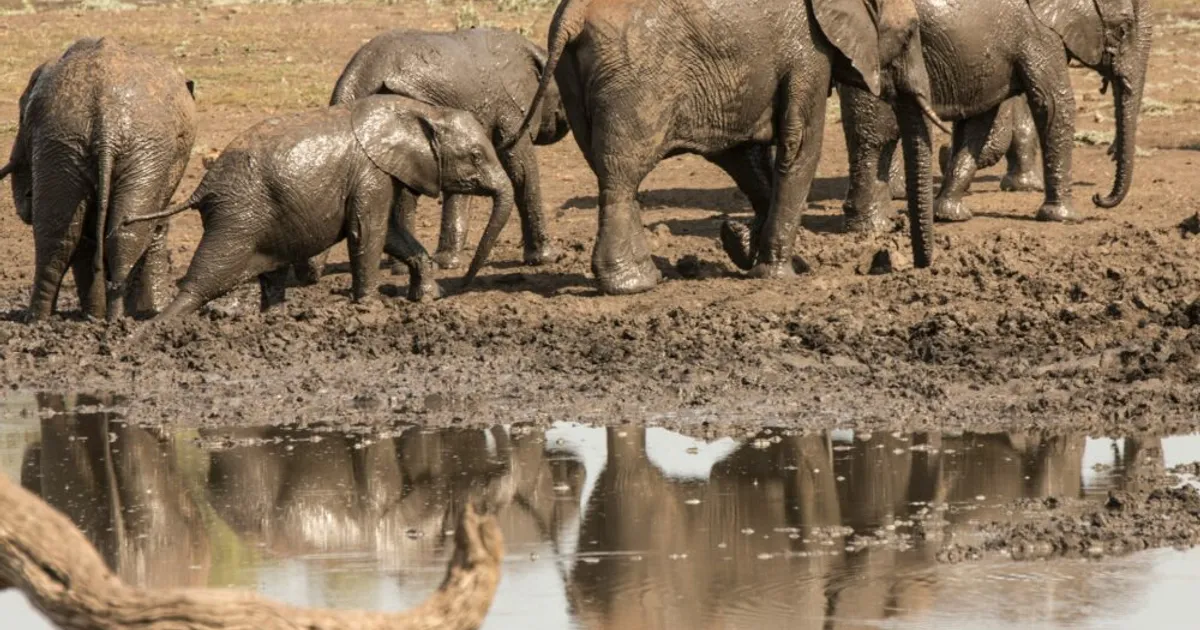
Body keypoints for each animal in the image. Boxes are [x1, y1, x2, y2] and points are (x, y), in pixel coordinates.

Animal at [0, 38, 196, 320]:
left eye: (20, 118)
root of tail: (107, 122)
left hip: (66, 143)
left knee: (60, 235)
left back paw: (44, 318)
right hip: (86, 143)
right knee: (105, 233)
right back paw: (106, 318)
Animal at [125, 95, 514, 317]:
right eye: (475, 156)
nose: (462, 286)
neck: (422, 112)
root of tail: (202, 188)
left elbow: (391, 234)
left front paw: (429, 298)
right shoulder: (370, 173)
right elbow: (368, 232)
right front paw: (369, 308)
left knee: (269, 272)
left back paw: (276, 319)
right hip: (237, 214)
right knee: (205, 280)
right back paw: (152, 332)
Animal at [296, 27, 570, 284]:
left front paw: (447, 262)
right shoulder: (511, 106)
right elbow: (521, 166)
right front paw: (546, 258)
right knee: (405, 192)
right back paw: (396, 269)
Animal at [510, 0, 947, 295]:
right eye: (911, 34)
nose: (917, 265)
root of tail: (572, 16)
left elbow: (743, 155)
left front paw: (743, 245)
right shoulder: (809, 52)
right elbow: (800, 145)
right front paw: (779, 274)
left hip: (573, 77)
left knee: (610, 173)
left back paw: (647, 276)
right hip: (632, 82)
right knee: (621, 174)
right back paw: (630, 285)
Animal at [839, 0, 1151, 228]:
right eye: (1123, 29)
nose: (1099, 197)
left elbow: (979, 122)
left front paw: (948, 213)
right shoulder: (1038, 32)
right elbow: (1054, 105)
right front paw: (1065, 218)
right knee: (878, 133)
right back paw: (875, 220)